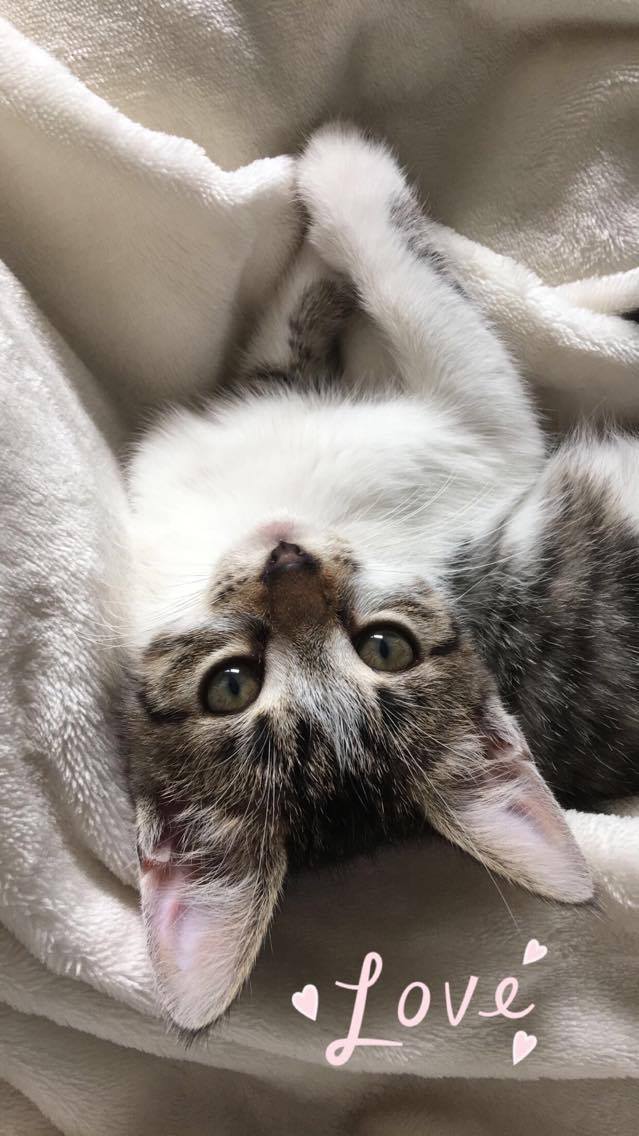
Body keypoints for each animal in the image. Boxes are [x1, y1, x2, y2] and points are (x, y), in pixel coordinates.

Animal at [125, 124, 639, 1032]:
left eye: (384, 647)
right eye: (232, 684)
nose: (287, 562)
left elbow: (331, 321)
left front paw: (326, 188)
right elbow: (368, 313)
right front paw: (334, 190)